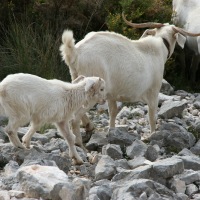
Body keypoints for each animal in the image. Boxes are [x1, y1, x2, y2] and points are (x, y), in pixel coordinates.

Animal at [59, 14, 200, 135]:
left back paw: (89, 127)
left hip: (77, 79)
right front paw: (152, 135)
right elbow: (152, 116)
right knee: (75, 117)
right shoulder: (153, 92)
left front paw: (112, 130)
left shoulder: (111, 93)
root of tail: (76, 52)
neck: (159, 44)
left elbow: (113, 112)